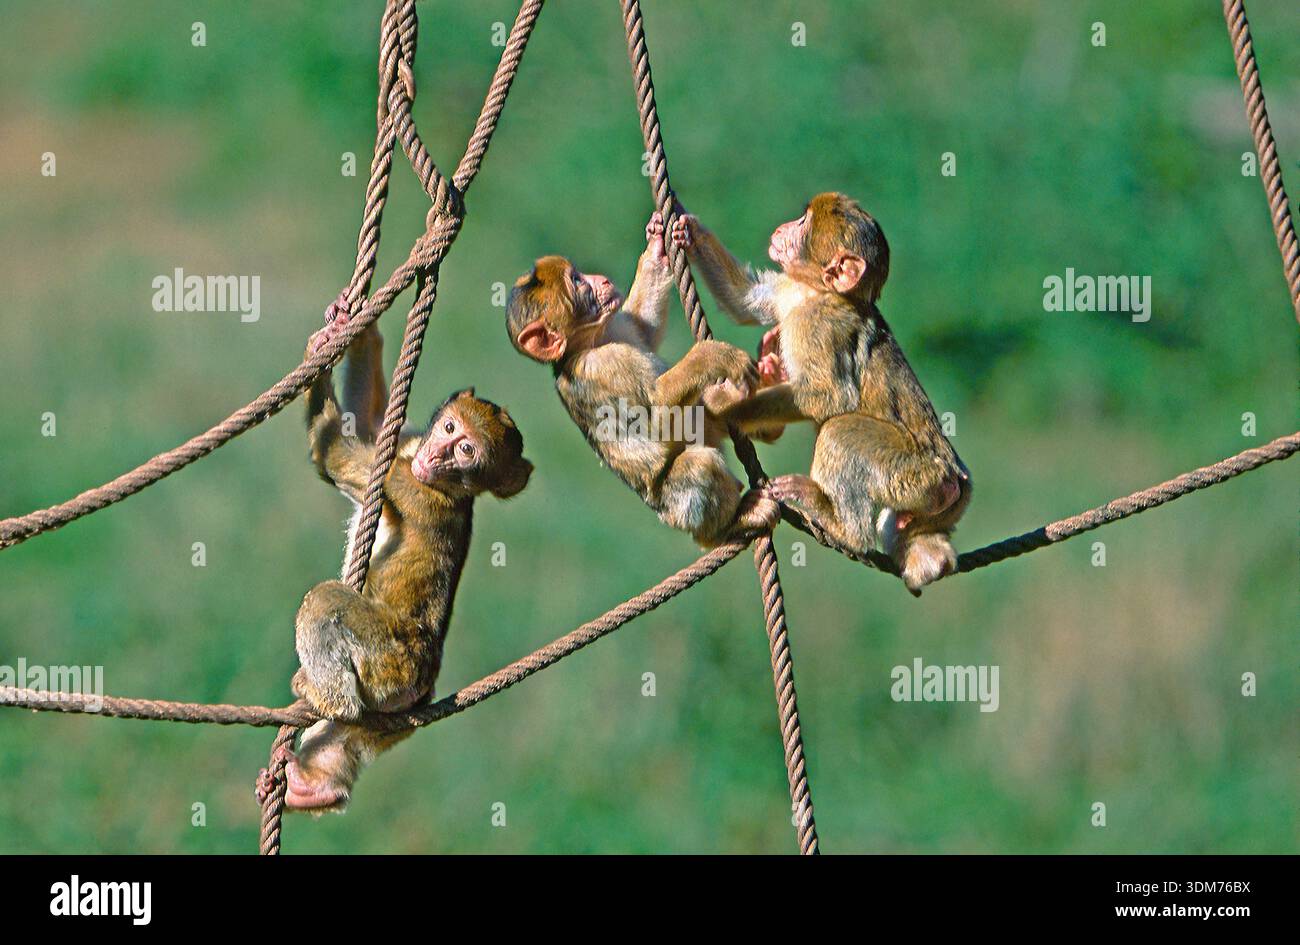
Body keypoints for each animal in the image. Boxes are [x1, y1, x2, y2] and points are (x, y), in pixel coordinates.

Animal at [279, 300, 533, 813]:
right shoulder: (408, 451)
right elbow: (369, 423)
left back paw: (322, 697)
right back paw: (319, 785)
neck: (445, 484)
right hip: (391, 704)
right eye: (450, 428)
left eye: (466, 451)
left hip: (390, 660)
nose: (436, 455)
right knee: (352, 733)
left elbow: (337, 455)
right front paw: (354, 327)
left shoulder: (405, 482)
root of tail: (425, 680)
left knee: (326, 605)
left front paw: (318, 355)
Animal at [504, 211, 770, 547]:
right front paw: (713, 356)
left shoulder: (616, 327)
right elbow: (657, 416)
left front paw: (657, 243)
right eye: (577, 282)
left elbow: (645, 328)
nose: (600, 279)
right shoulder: (604, 365)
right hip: (676, 504)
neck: (589, 342)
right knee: (699, 467)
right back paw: (731, 525)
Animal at [673, 193, 971, 594]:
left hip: (920, 475)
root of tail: (956, 479)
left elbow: (829, 396)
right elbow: (746, 299)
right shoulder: (790, 290)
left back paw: (842, 526)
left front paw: (724, 404)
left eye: (803, 224)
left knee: (840, 432)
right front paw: (689, 230)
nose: (783, 228)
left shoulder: (819, 325)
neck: (816, 291)